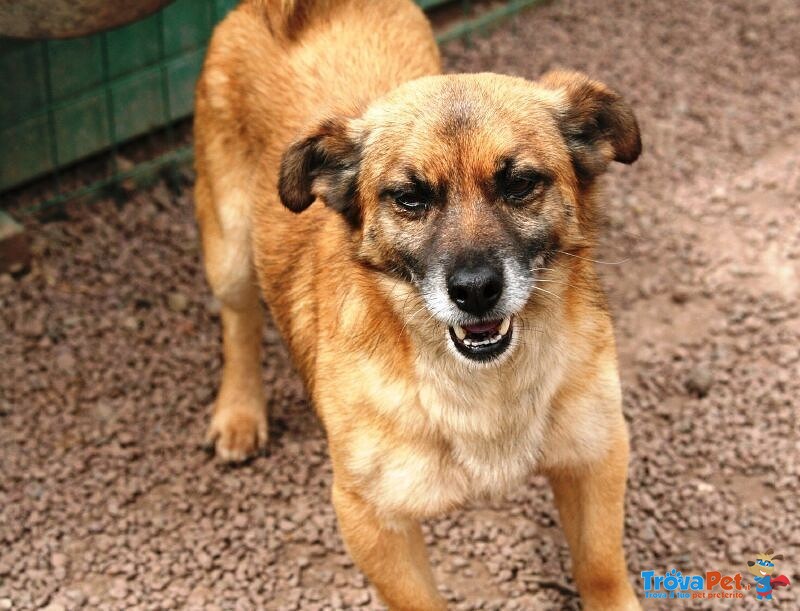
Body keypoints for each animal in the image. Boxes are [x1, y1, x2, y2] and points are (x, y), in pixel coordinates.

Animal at [194, 1, 642, 609]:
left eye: (520, 183)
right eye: (410, 198)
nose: (475, 290)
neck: (485, 389)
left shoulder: (596, 457)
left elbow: (599, 569)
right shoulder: (371, 519)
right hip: (230, 252)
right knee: (238, 319)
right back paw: (239, 414)